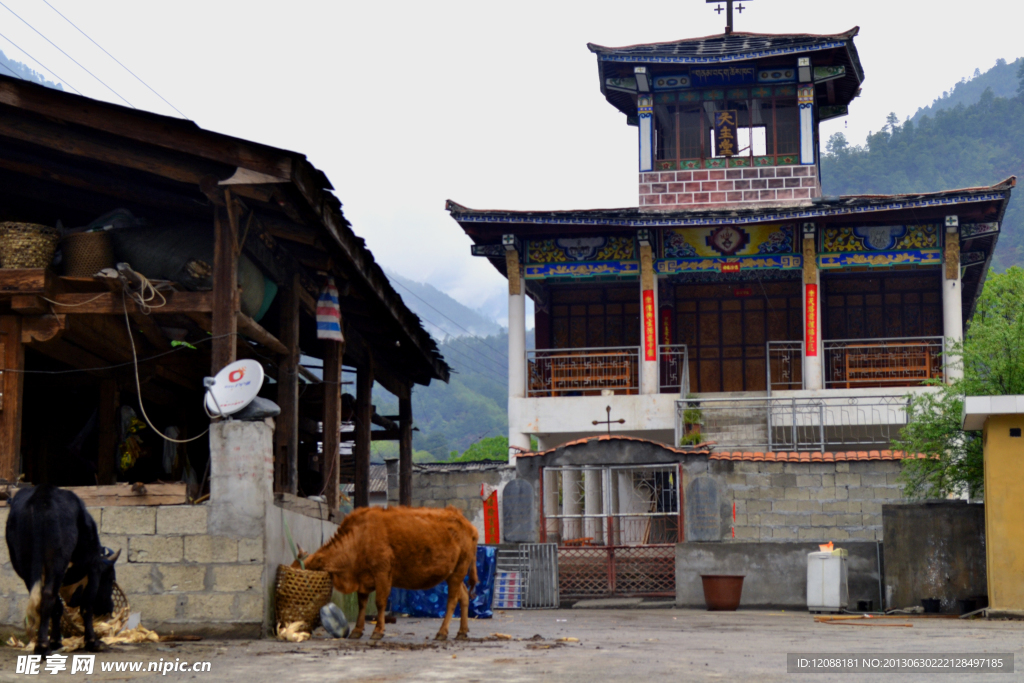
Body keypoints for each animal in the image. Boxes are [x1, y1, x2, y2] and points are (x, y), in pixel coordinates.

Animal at [6, 485, 119, 655]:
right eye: (111, 578)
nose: (109, 608)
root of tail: (40, 495)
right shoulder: (93, 567)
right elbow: (87, 605)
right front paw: (92, 642)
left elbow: (58, 607)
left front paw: (55, 641)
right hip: (57, 560)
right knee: (48, 596)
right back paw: (42, 646)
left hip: (24, 564)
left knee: (42, 597)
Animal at [292, 501, 475, 643]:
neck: (359, 538)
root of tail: (465, 522)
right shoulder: (363, 579)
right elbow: (362, 604)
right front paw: (357, 630)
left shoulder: (382, 573)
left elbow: (380, 602)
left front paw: (378, 631)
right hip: (454, 574)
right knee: (464, 596)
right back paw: (462, 632)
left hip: (458, 571)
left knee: (452, 600)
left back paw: (442, 632)